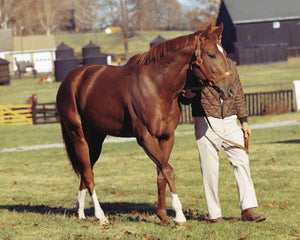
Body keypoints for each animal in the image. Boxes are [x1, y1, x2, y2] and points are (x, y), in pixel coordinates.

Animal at [55, 24, 234, 225]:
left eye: (224, 52)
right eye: (211, 54)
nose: (230, 89)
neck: (156, 85)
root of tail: (71, 80)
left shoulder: (166, 137)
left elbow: (161, 174)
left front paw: (162, 215)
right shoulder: (146, 138)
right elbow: (168, 171)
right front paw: (179, 215)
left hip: (95, 139)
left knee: (86, 171)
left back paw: (80, 212)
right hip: (78, 135)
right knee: (88, 174)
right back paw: (100, 216)